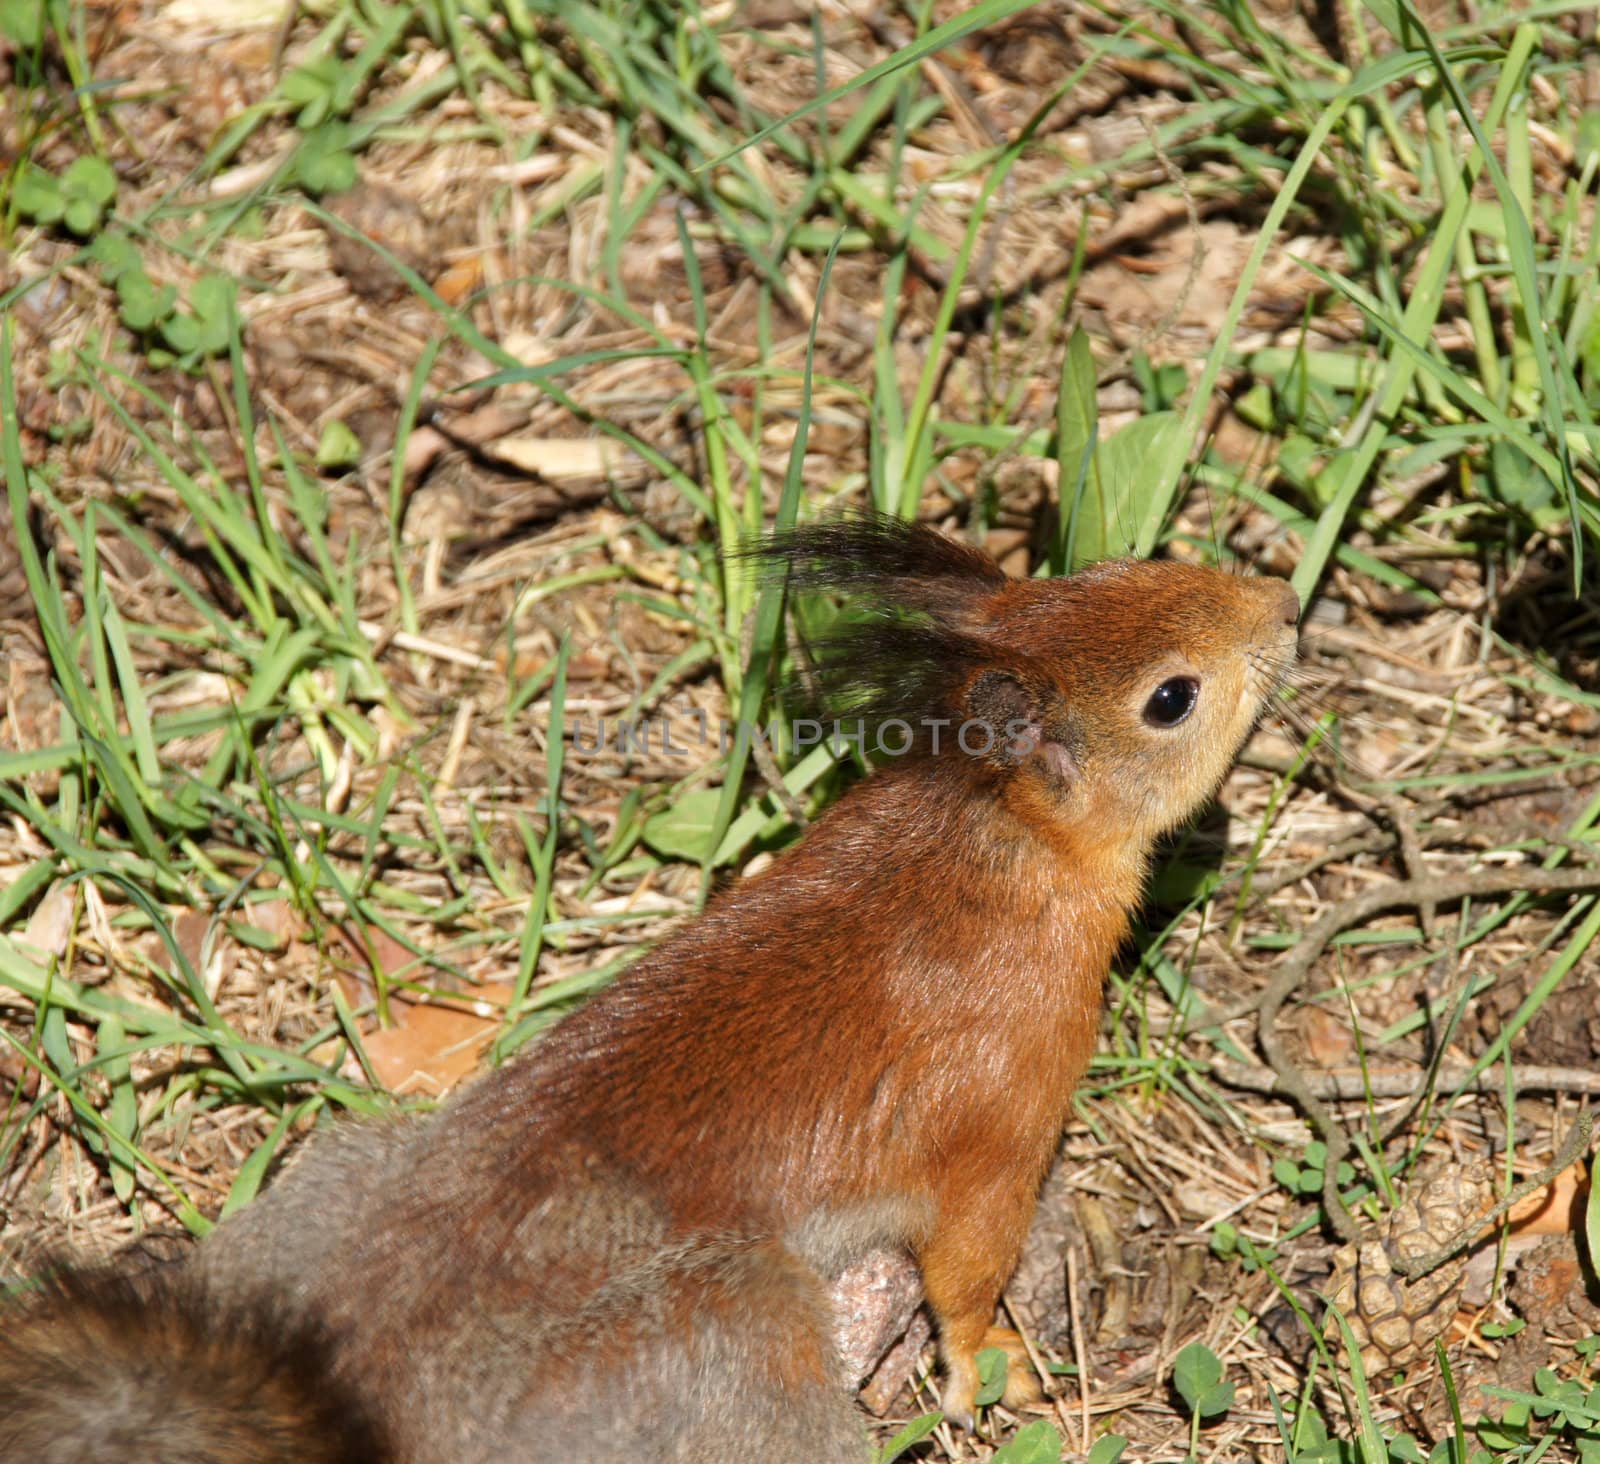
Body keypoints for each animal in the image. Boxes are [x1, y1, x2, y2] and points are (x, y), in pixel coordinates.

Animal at [0, 512, 1299, 1452]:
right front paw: (994, 1366)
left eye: (1124, 563)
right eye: (1171, 698)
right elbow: (970, 1266)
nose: (1284, 605)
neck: (984, 845)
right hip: (732, 1328)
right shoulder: (999, 1110)